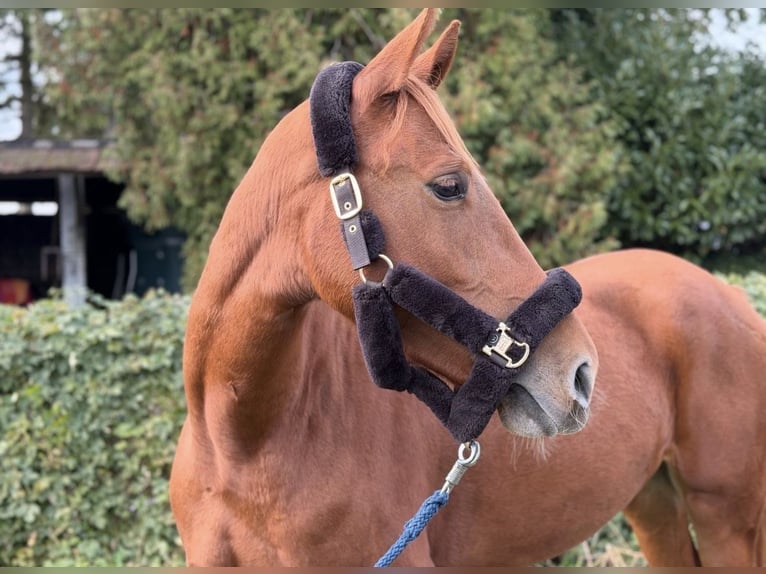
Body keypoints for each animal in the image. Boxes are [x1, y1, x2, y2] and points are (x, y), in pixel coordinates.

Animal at [169, 9, 766, 566]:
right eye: (449, 185)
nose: (581, 374)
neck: (244, 448)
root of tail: (732, 297)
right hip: (654, 506)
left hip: (725, 519)